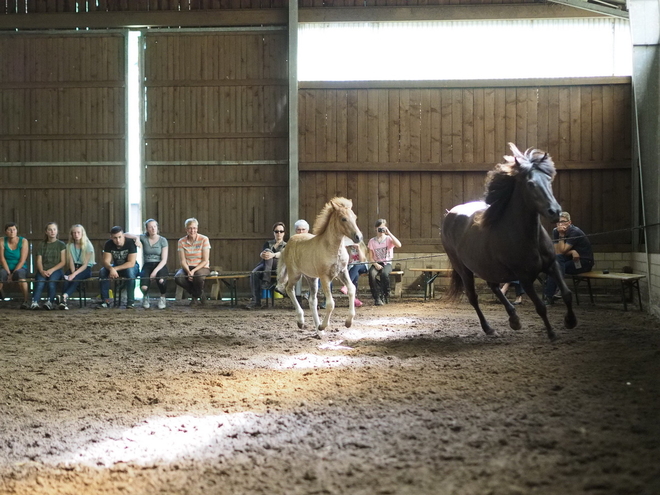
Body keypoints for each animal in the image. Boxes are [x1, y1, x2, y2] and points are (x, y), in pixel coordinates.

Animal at [440, 143, 576, 340]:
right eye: (530, 184)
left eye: (549, 180)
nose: (555, 212)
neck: (529, 237)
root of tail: (449, 214)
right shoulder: (525, 277)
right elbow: (540, 307)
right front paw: (552, 334)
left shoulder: (552, 265)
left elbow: (567, 293)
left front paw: (570, 321)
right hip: (464, 269)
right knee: (473, 297)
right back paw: (489, 328)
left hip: (487, 267)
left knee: (494, 286)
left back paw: (514, 319)